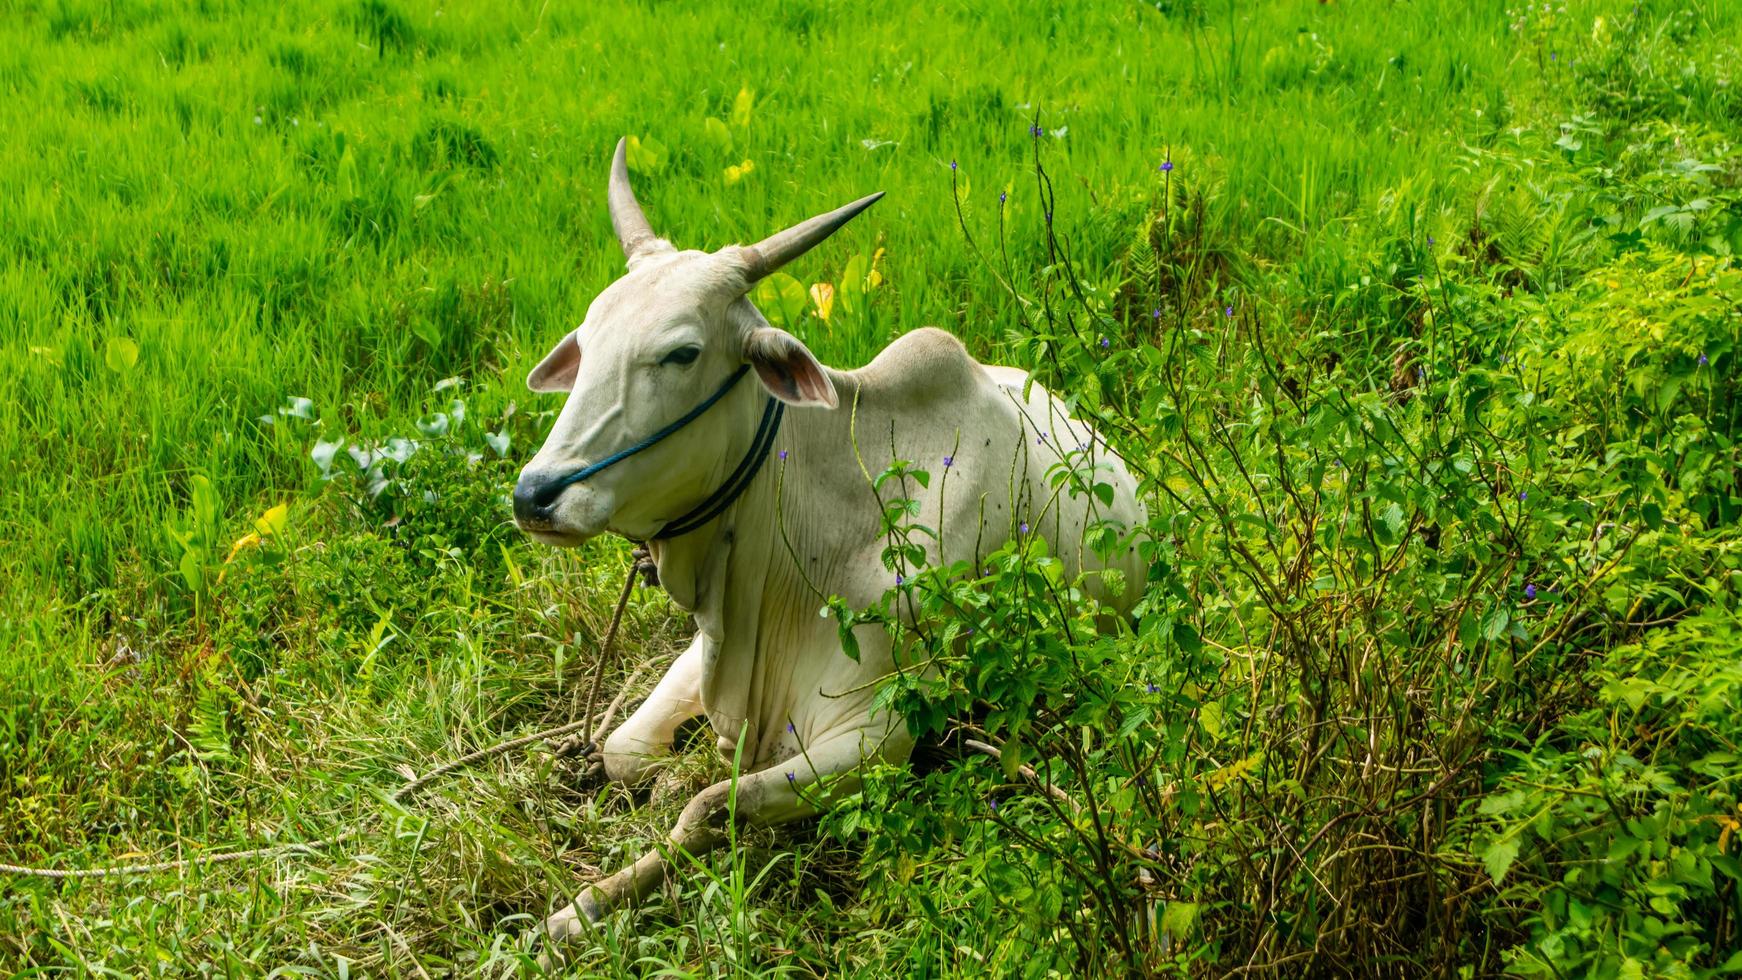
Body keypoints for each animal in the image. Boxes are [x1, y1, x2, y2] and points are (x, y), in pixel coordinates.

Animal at [508, 140, 1149, 939]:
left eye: (682, 353)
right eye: (588, 342)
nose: (535, 495)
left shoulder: (880, 736)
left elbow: (705, 807)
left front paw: (576, 914)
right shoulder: (707, 650)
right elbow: (624, 753)